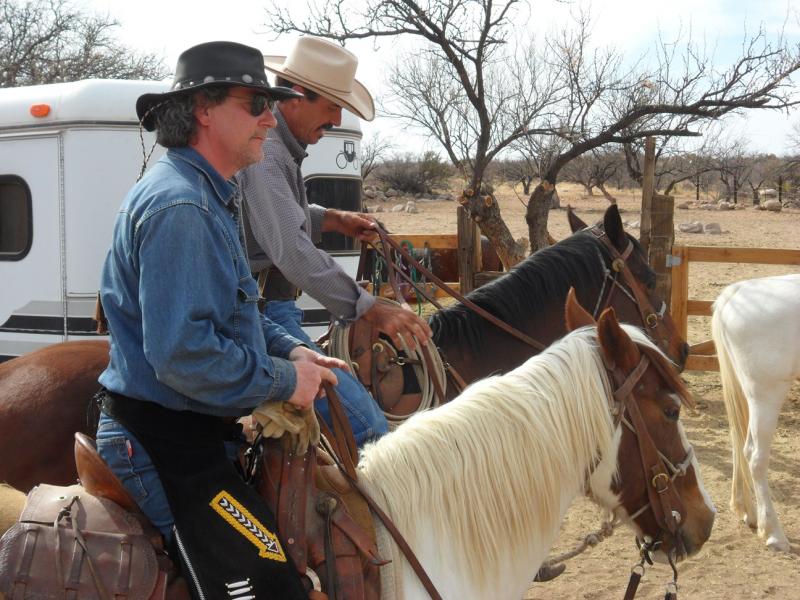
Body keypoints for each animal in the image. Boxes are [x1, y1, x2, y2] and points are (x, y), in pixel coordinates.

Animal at [712, 273, 800, 552]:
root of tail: (737, 291)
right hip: (766, 396)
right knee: (754, 456)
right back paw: (773, 532)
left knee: (738, 441)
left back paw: (748, 513)